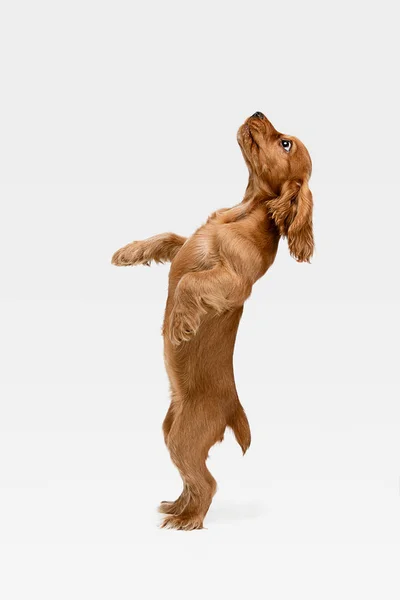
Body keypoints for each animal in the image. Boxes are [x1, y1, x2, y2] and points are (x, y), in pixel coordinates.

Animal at [111, 112, 312, 528]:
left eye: (285, 143)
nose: (257, 112)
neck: (243, 211)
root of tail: (233, 407)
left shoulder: (234, 283)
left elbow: (189, 282)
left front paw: (179, 324)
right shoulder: (184, 246)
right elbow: (168, 237)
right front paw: (128, 252)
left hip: (184, 437)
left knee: (208, 482)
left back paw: (187, 520)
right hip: (171, 429)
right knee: (192, 479)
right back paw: (176, 506)